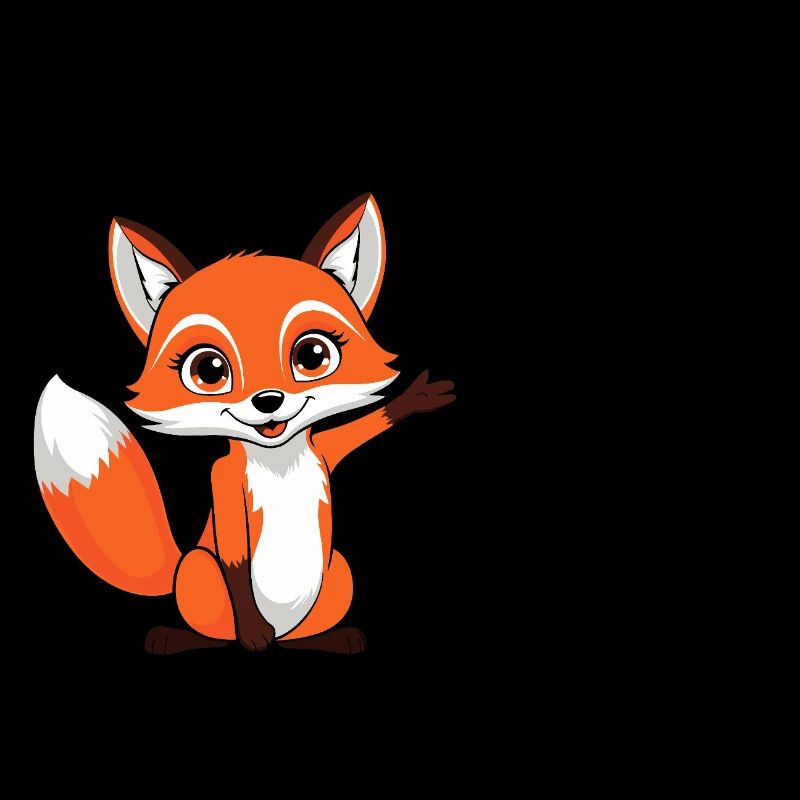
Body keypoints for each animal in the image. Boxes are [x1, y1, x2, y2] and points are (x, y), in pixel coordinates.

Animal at [33, 194, 455, 655]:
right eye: (209, 369)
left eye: (312, 356)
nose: (268, 400)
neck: (278, 460)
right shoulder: (223, 482)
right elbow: (235, 560)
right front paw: (253, 633)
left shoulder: (327, 449)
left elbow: (366, 426)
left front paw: (417, 398)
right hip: (200, 568)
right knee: (215, 631)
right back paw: (179, 637)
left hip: (338, 570)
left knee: (300, 636)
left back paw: (330, 639)